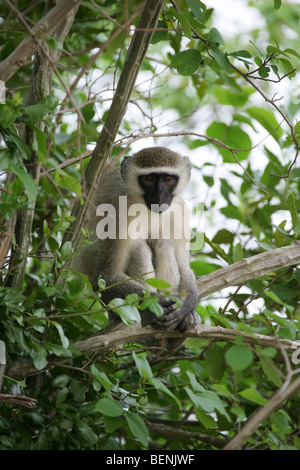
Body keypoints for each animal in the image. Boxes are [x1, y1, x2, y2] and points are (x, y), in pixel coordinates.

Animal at [72, 147, 199, 348]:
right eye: (149, 179)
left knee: (163, 242)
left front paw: (187, 304)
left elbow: (184, 267)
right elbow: (107, 275)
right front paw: (159, 303)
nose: (160, 196)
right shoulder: (119, 212)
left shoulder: (179, 210)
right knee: (138, 248)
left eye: (167, 178)